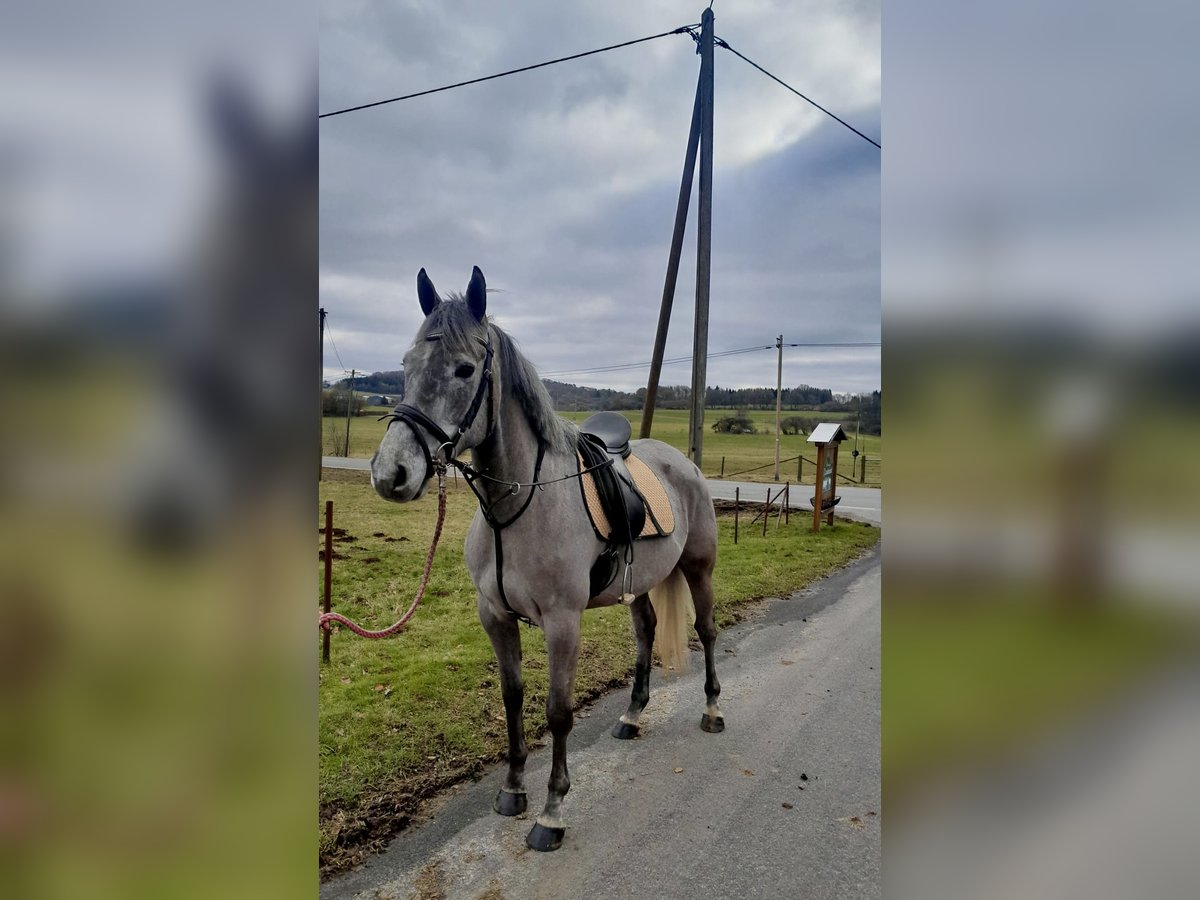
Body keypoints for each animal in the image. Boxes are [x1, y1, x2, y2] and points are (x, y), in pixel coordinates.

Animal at [369, 266, 720, 854]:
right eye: (406, 364)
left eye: (465, 368)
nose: (391, 473)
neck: (516, 506)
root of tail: (682, 462)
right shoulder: (494, 616)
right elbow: (512, 698)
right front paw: (513, 790)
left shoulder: (562, 622)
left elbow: (558, 711)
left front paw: (552, 810)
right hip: (641, 583)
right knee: (647, 631)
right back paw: (632, 714)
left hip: (699, 569)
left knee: (709, 632)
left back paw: (714, 710)